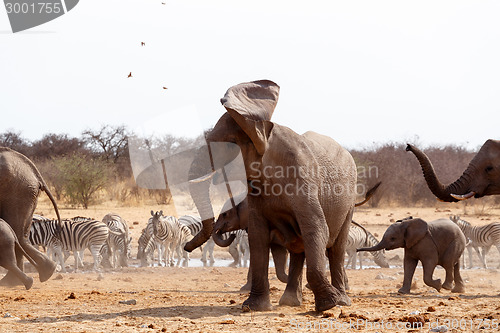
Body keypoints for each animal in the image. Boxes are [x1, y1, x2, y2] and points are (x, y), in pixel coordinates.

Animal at [0, 148, 61, 286]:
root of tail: (35, 173)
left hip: (18, 191)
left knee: (17, 232)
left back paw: (10, 282)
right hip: (27, 192)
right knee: (21, 235)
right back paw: (47, 271)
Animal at [186, 79, 358, 310]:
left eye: (228, 145)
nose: (186, 247)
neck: (263, 131)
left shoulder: (303, 178)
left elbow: (315, 228)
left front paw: (328, 305)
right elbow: (257, 237)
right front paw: (252, 307)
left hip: (349, 202)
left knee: (336, 249)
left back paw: (342, 301)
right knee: (298, 248)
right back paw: (291, 302)